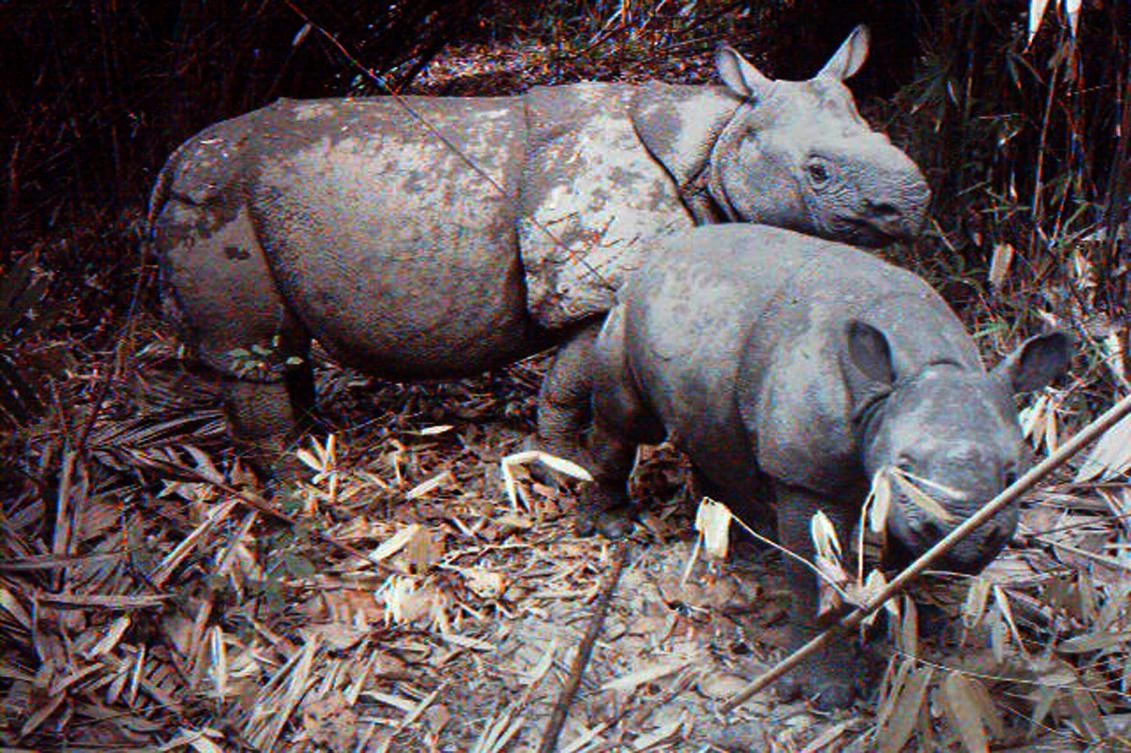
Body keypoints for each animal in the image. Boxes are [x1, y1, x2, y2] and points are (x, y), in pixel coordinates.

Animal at [149, 26, 929, 470]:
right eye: (817, 172)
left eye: (890, 137)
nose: (914, 201)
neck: (719, 140)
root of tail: (171, 161)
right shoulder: (596, 290)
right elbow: (572, 381)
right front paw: (561, 461)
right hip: (214, 198)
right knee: (246, 347)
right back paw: (293, 480)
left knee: (281, 344)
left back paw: (314, 444)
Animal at [564, 223, 1070, 709]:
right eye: (903, 465)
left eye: (1012, 475)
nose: (965, 539)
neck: (919, 369)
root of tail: (659, 251)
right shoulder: (807, 474)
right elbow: (814, 572)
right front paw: (827, 691)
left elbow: (904, 553)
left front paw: (905, 621)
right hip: (629, 312)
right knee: (627, 416)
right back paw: (612, 523)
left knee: (711, 427)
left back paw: (738, 532)